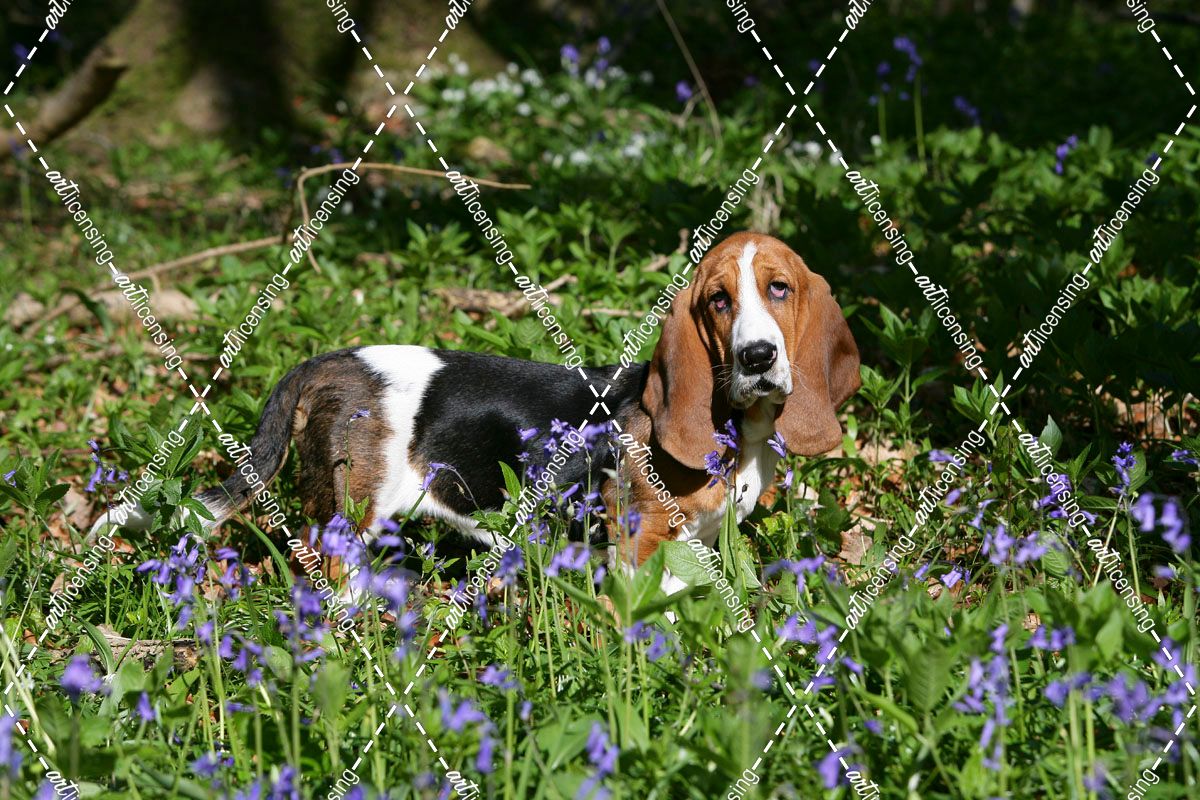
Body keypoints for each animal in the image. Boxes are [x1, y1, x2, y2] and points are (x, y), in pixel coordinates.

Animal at [91, 232, 859, 576]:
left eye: (781, 289)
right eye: (718, 302)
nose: (757, 357)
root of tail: (328, 361)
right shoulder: (636, 544)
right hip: (351, 514)